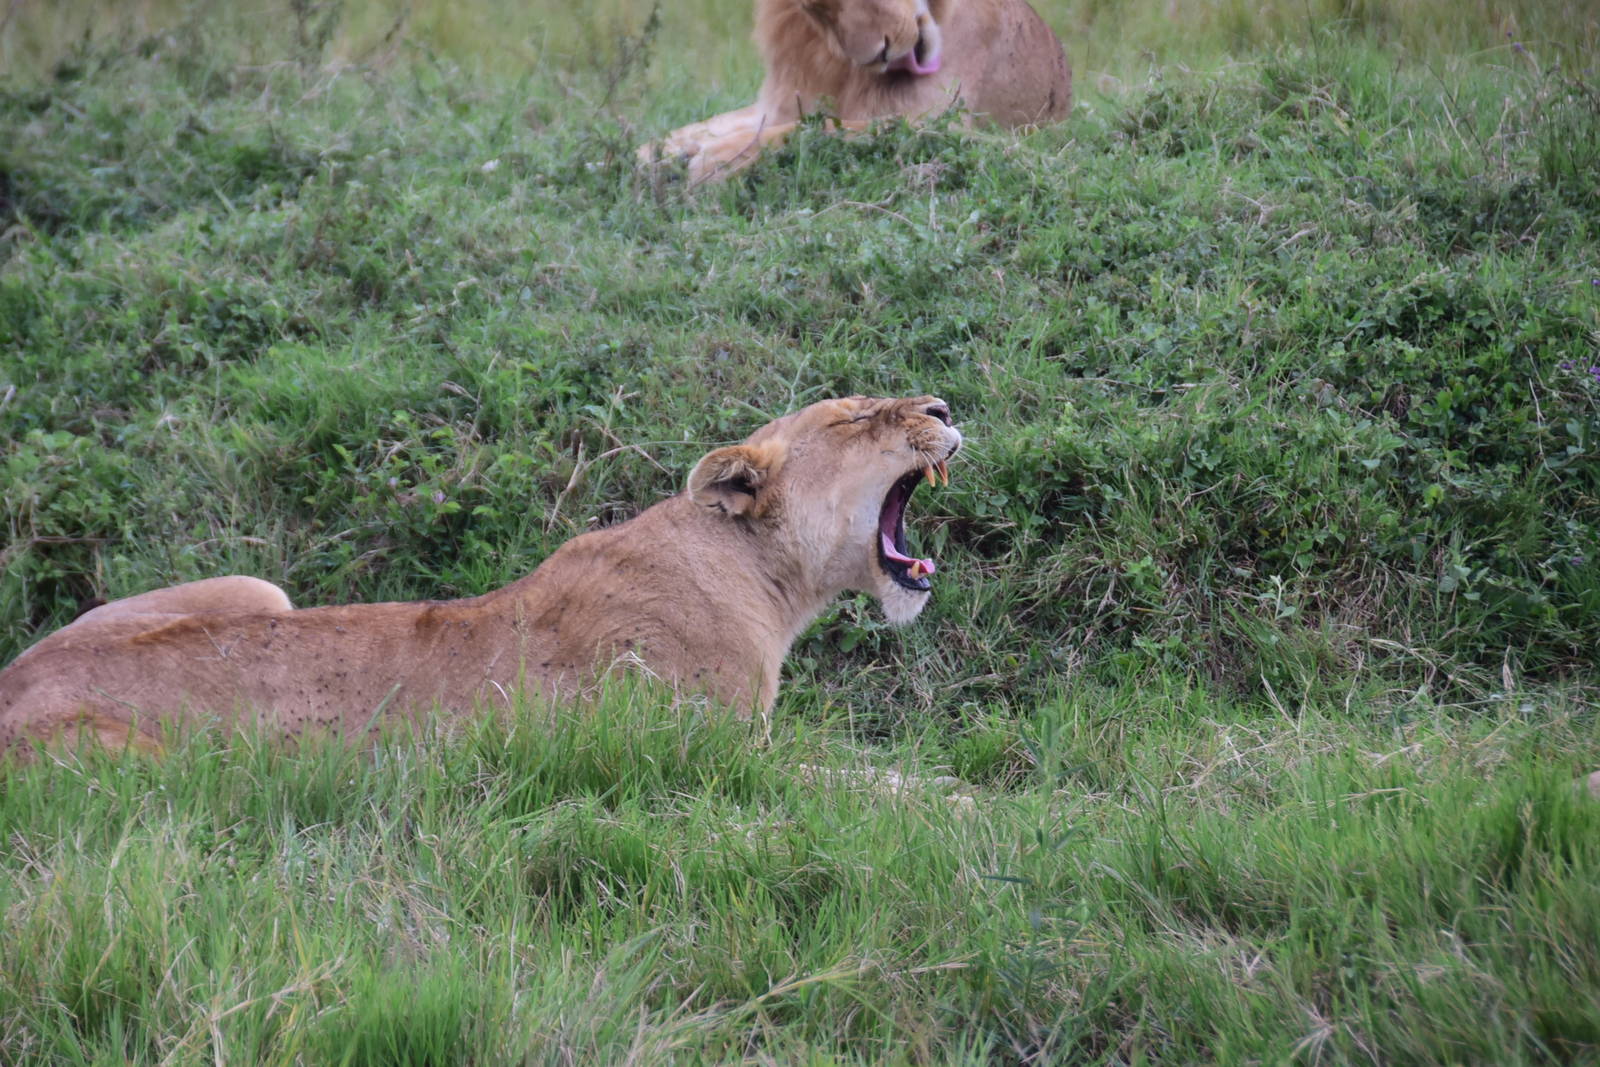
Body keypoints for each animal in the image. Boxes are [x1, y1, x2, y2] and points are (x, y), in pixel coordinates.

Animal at [0, 396, 962, 758]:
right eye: (858, 418)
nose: (944, 406)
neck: (761, 574)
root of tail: (17, 675)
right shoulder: (712, 756)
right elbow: (878, 791)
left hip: (255, 588)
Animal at [638, 0, 1070, 182]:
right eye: (812, 6)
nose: (880, 53)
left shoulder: (941, 126)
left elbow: (815, 129)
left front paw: (715, 161)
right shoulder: (781, 101)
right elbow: (718, 123)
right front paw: (656, 151)